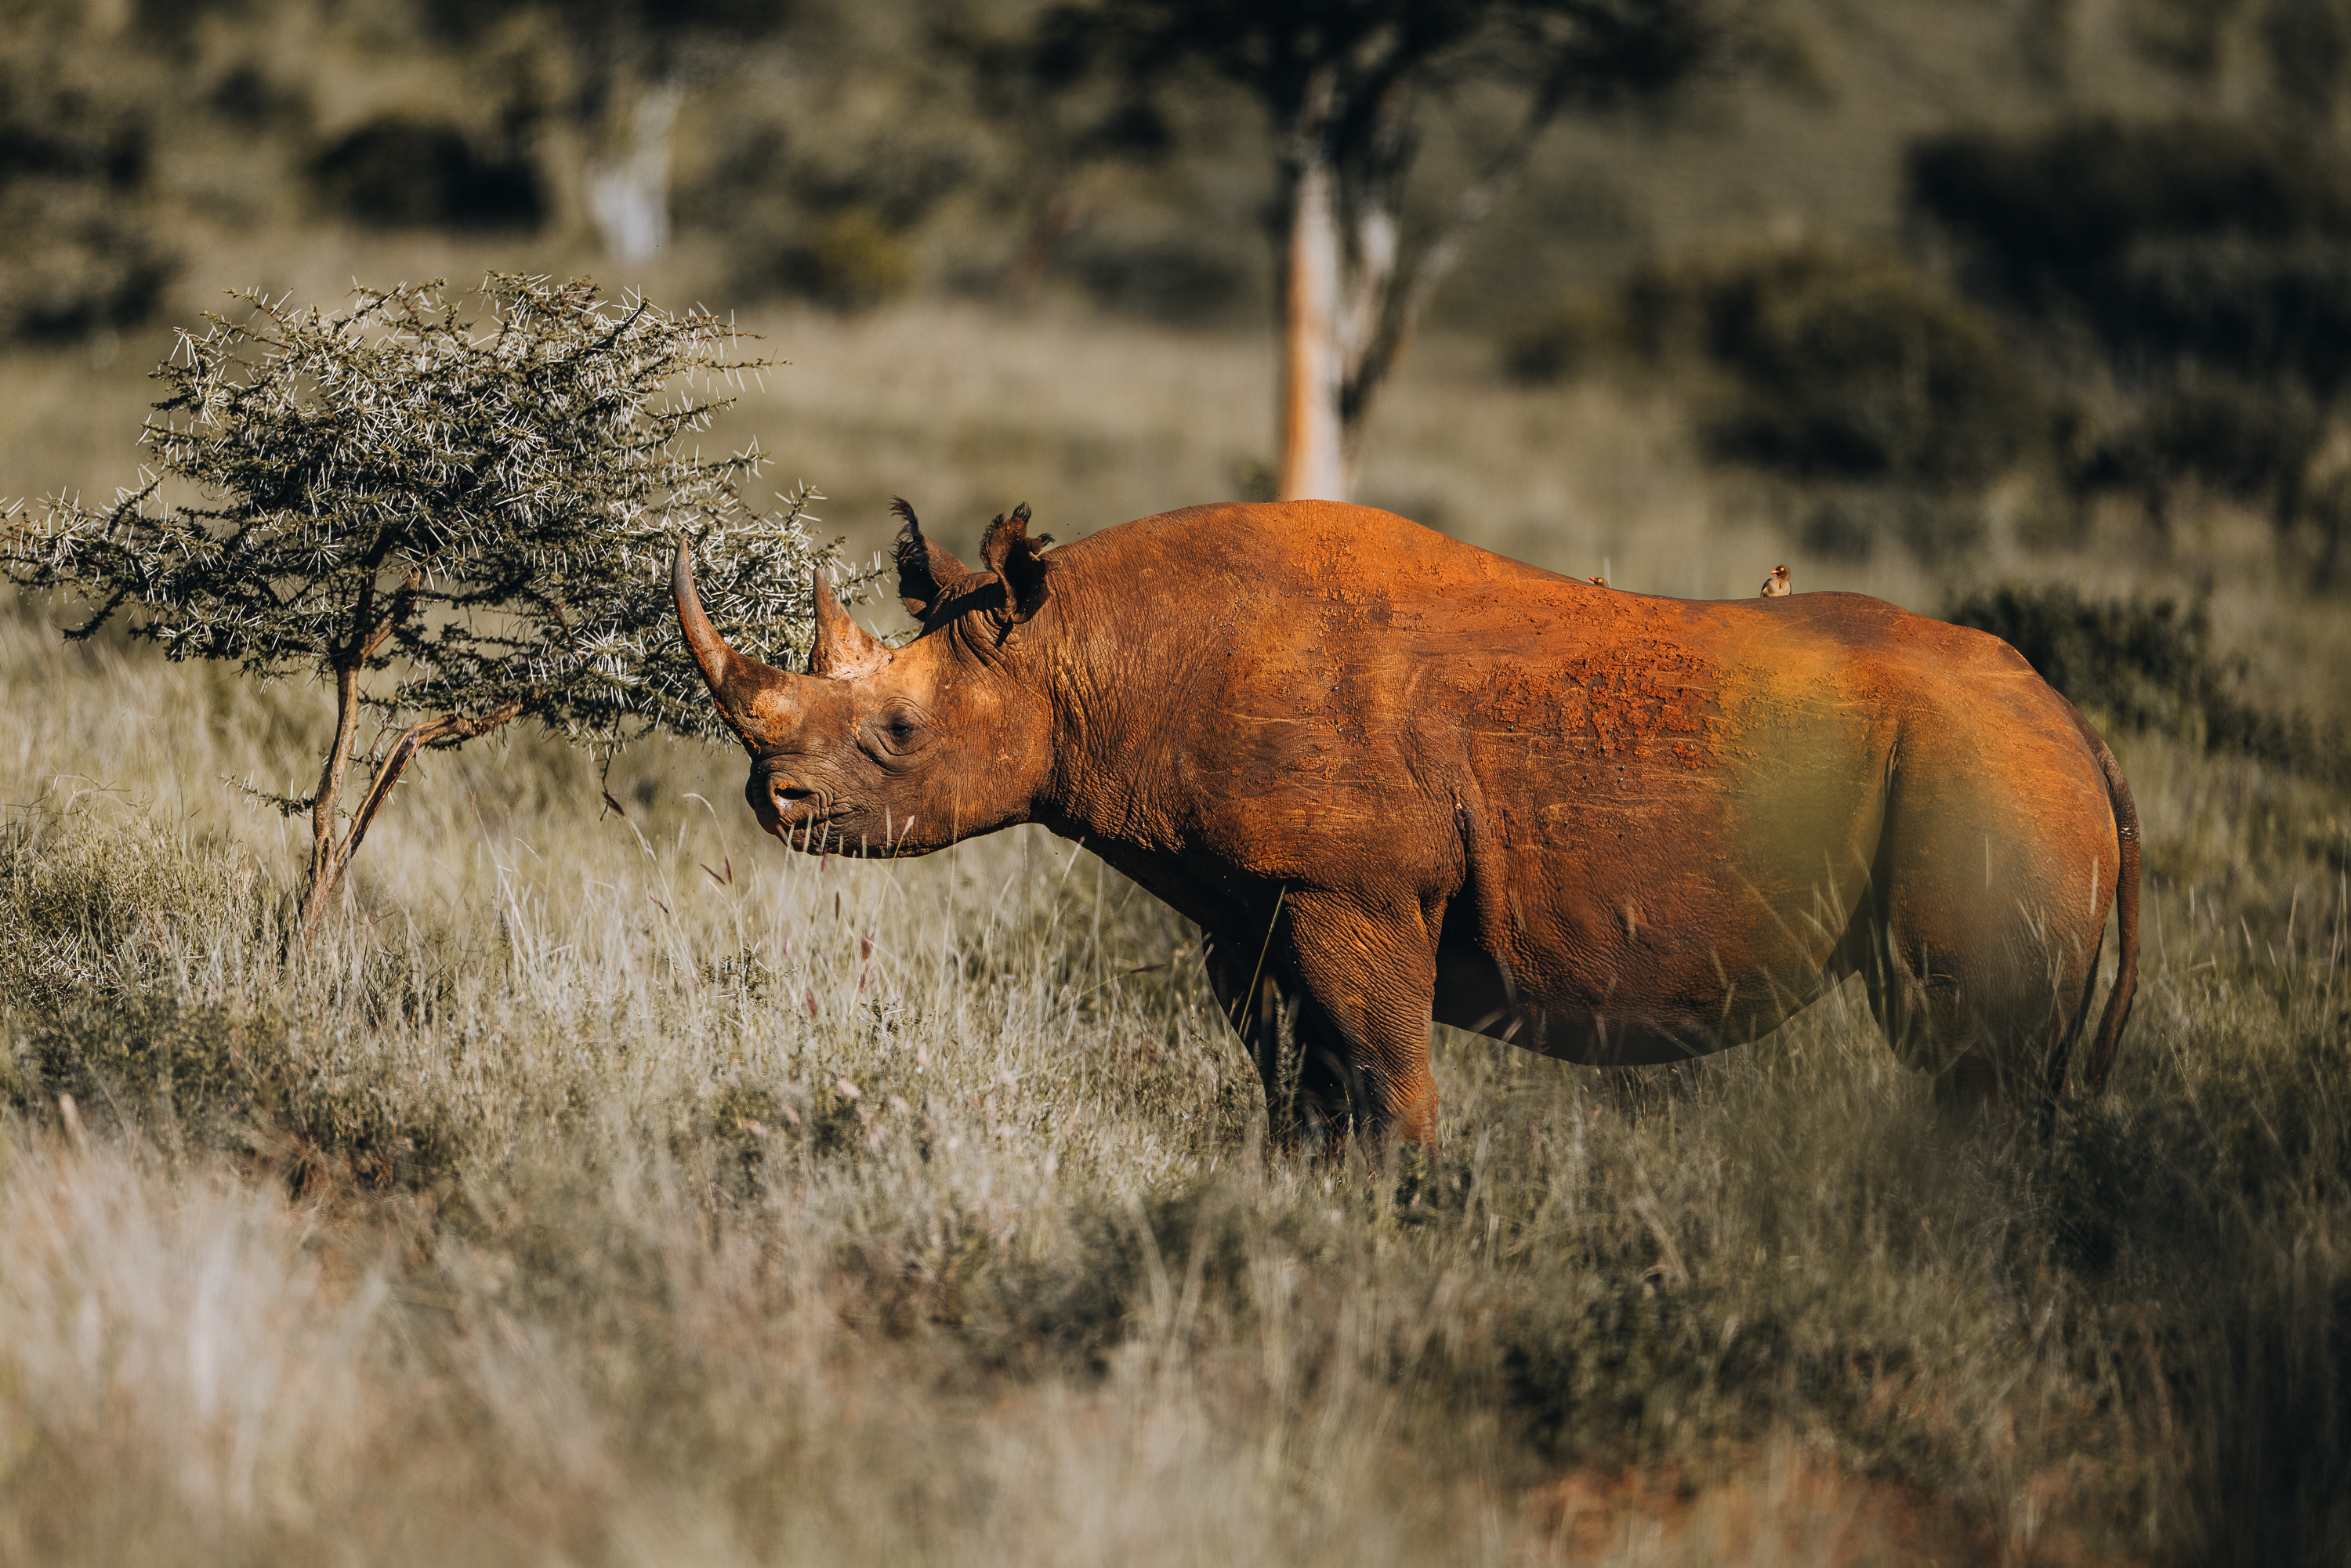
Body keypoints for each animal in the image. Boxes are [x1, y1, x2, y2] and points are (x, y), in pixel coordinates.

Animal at [674, 500, 2139, 1146]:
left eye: (899, 735)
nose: (770, 799)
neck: (1091, 653)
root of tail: (2073, 719)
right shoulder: (1251, 901)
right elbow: (1306, 1081)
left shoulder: (1354, 888)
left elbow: (1388, 1076)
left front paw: (1408, 1221)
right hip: (1990, 767)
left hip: (1981, 775)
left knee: (1970, 1066)